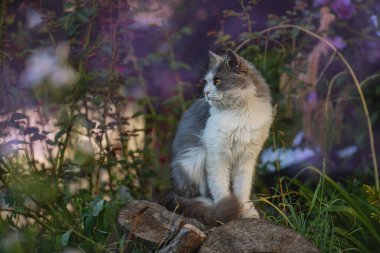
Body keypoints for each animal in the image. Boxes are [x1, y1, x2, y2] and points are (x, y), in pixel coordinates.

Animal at [160, 49, 274, 225]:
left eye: (217, 81)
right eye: (206, 82)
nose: (206, 93)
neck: (240, 113)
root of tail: (172, 187)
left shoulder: (246, 159)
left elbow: (243, 190)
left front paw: (247, 212)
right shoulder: (217, 156)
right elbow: (220, 188)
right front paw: (225, 210)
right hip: (193, 159)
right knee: (189, 194)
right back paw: (208, 204)